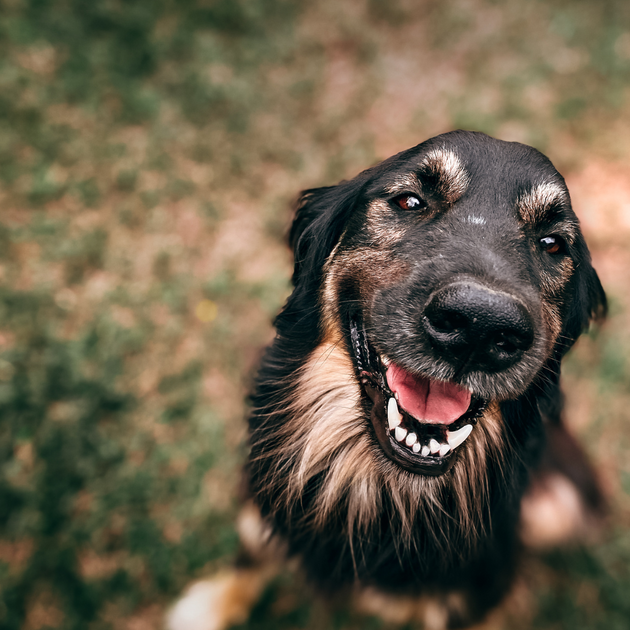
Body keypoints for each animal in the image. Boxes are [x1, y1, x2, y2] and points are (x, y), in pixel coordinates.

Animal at [168, 131, 608, 628]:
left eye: (552, 244)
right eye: (409, 201)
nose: (479, 327)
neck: (379, 487)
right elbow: (252, 547)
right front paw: (215, 603)